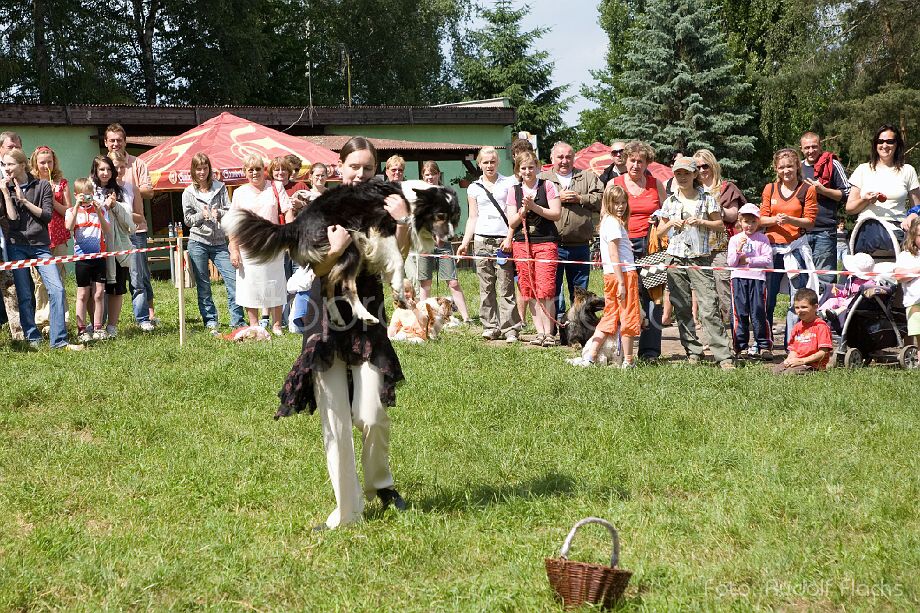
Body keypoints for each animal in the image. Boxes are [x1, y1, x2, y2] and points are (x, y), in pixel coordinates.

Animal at [224, 178, 460, 326]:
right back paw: (365, 316)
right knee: (345, 286)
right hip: (350, 244)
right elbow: (397, 262)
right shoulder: (380, 230)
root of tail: (296, 224)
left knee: (327, 286)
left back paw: (337, 317)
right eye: (440, 216)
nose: (450, 238)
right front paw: (398, 290)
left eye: (454, 217)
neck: (411, 202)